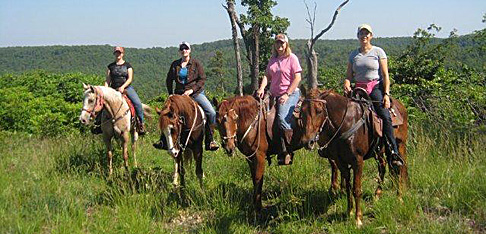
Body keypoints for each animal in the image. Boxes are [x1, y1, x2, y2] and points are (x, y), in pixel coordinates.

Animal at [298, 88, 408, 227]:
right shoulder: (340, 161)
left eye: (319, 110)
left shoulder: (358, 161)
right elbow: (348, 187)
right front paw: (349, 212)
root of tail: (401, 107)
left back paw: (399, 197)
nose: (307, 142)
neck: (346, 123)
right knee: (383, 166)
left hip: (400, 145)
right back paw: (378, 194)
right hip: (380, 151)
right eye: (302, 111)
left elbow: (356, 189)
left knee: (400, 168)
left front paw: (358, 219)